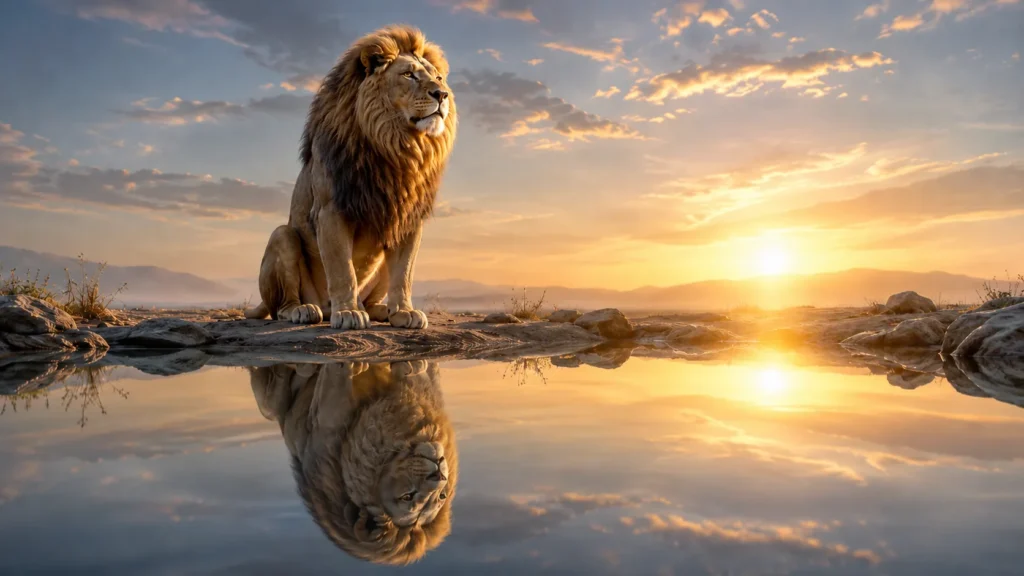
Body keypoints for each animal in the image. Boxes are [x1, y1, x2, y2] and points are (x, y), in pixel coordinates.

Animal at [245, 25, 457, 331]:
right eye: (409, 75)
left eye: (438, 78)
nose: (442, 95)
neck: (397, 147)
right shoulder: (330, 210)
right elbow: (342, 269)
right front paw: (347, 312)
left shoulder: (407, 217)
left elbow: (404, 273)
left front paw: (405, 311)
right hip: (282, 236)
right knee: (281, 306)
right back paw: (305, 310)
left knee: (374, 295)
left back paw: (382, 311)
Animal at [249, 360, 458, 565]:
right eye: (408, 496)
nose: (439, 475)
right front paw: (411, 365)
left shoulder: (325, 420)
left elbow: (333, 386)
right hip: (271, 409)